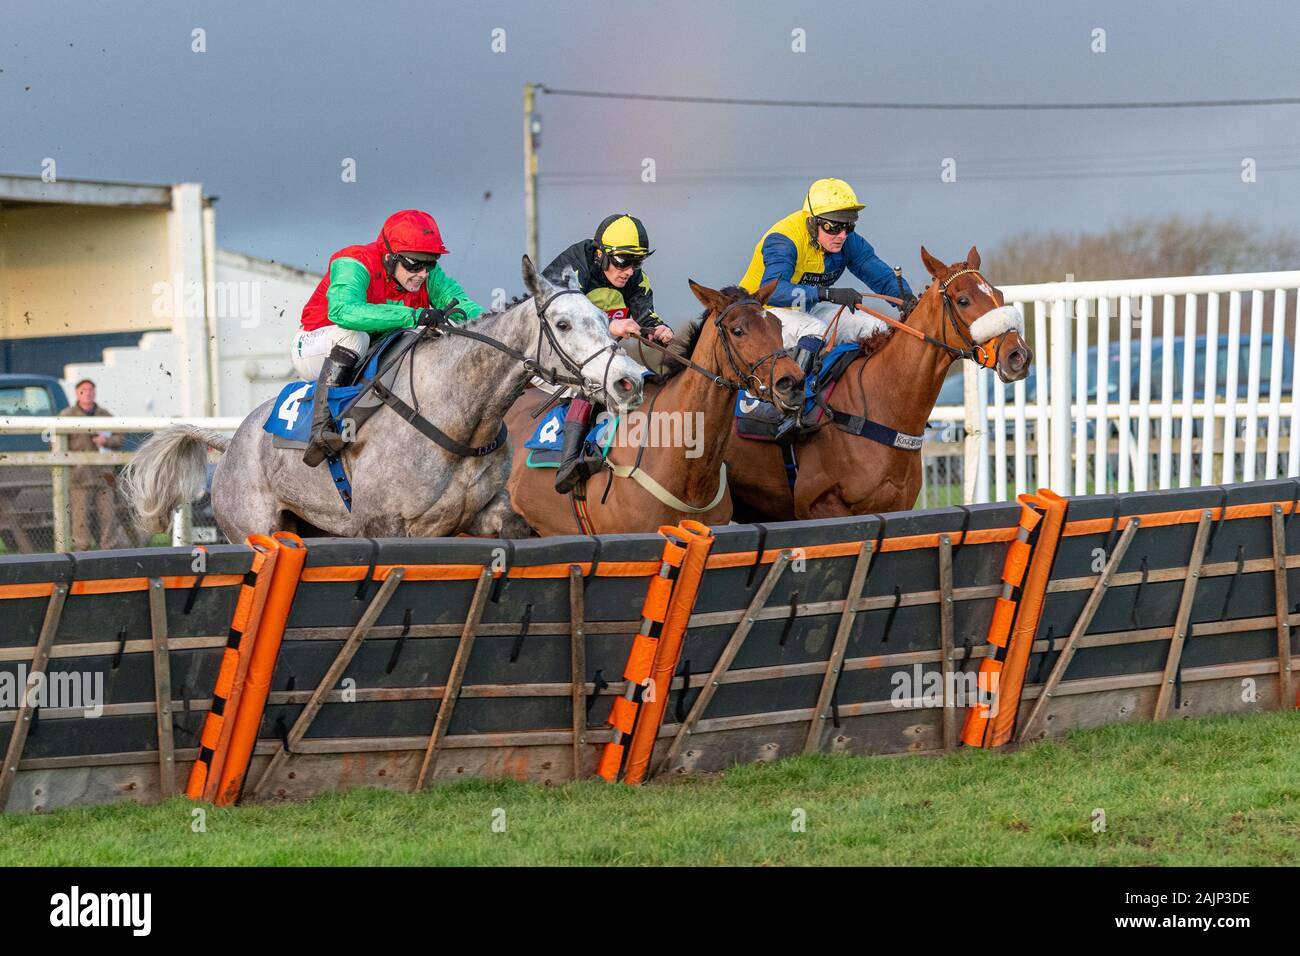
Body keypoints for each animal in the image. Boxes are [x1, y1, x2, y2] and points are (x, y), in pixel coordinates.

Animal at [120, 257, 644, 541]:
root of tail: (231, 446)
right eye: (563, 324)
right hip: (255, 528)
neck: (459, 415)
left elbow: (517, 528)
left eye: (606, 318)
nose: (629, 381)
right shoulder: (386, 526)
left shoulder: (485, 514)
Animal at [728, 244, 1029, 515]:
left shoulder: (899, 504)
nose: (1019, 356)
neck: (881, 405)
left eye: (999, 294)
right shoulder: (820, 504)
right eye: (963, 300)